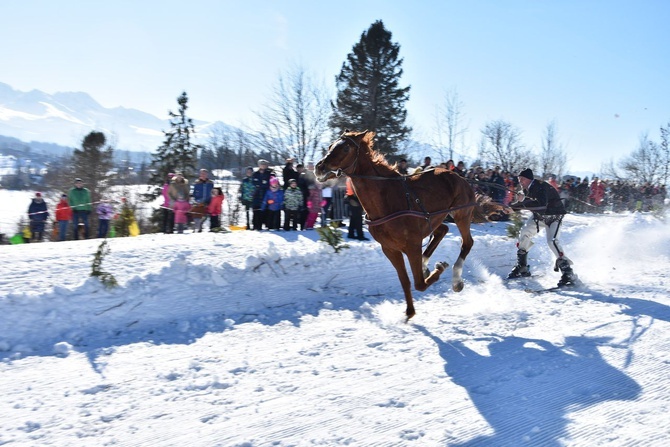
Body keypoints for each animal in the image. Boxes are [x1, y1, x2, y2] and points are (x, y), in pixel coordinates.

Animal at [316, 130, 498, 322]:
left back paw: (456, 280)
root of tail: (459, 177)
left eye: (345, 148)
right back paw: (425, 266)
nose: (319, 167)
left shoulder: (412, 245)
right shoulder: (390, 249)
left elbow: (419, 284)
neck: (386, 200)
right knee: (442, 231)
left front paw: (440, 267)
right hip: (434, 217)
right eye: (330, 146)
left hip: (461, 214)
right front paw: (410, 311)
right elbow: (405, 281)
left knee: (467, 243)